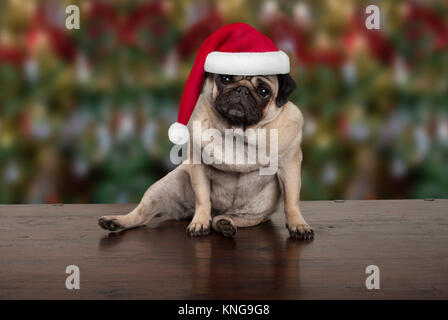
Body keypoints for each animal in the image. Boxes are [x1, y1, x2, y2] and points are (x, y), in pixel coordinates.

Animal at [99, 72, 314, 238]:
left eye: (263, 91)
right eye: (225, 79)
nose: (242, 90)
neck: (235, 133)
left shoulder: (290, 166)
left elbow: (292, 200)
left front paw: (298, 225)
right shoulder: (198, 167)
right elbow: (203, 198)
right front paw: (199, 222)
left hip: (251, 216)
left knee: (220, 219)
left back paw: (224, 224)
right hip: (164, 188)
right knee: (142, 215)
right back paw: (116, 221)